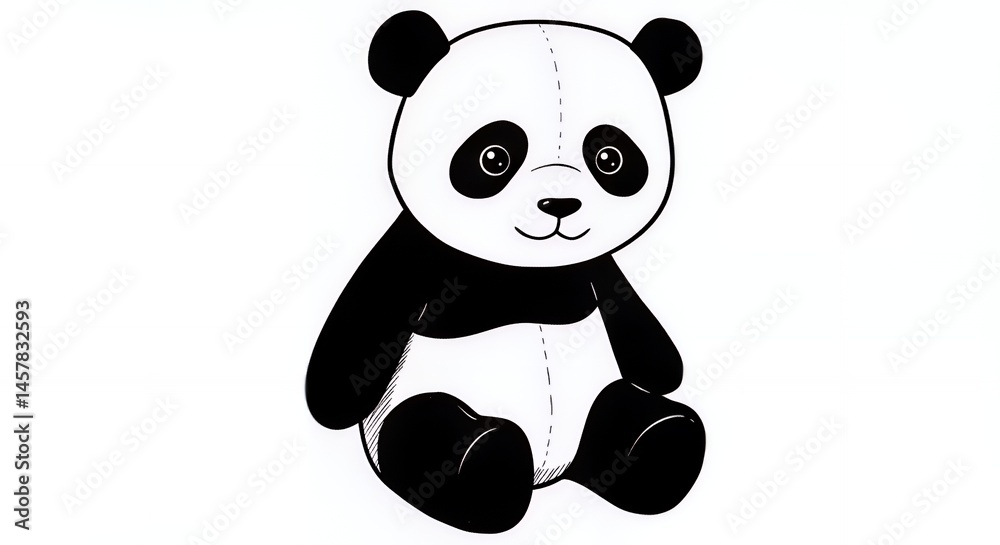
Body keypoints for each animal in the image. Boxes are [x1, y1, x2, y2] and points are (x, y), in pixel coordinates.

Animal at [306, 10, 706, 534]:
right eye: (493, 156)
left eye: (610, 158)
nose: (560, 204)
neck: (531, 270)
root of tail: (550, 472)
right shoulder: (420, 251)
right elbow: (367, 315)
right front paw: (329, 403)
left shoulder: (590, 267)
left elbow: (635, 323)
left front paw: (668, 371)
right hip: (409, 408)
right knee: (427, 432)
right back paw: (484, 461)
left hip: (596, 400)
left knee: (623, 411)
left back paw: (664, 438)